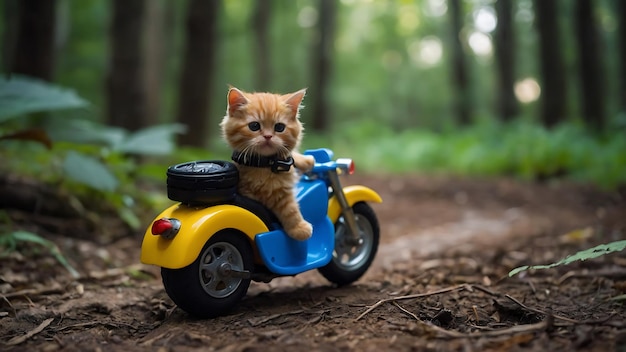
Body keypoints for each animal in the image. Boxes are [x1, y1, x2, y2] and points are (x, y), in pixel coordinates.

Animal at [221, 88, 316, 242]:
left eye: (279, 127)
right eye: (254, 126)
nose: (268, 136)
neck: (268, 164)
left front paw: (304, 160)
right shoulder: (266, 194)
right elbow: (289, 208)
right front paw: (299, 228)